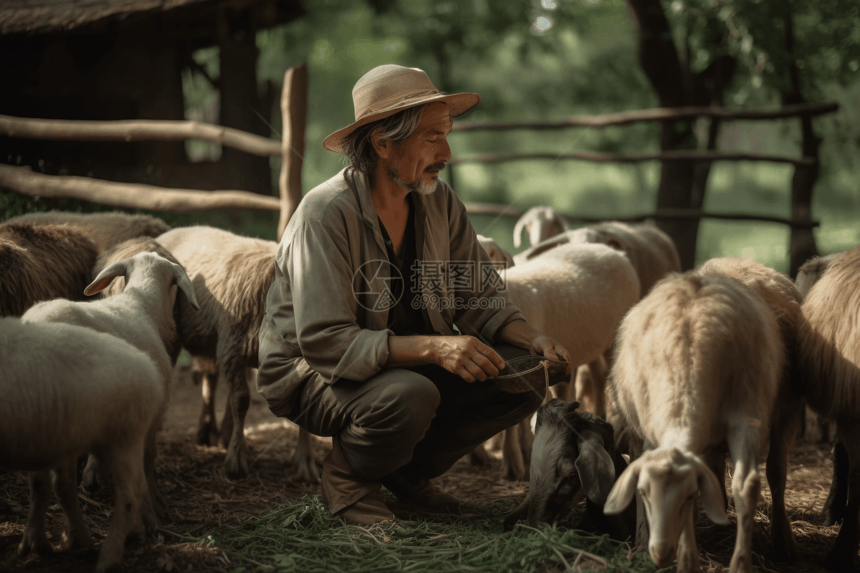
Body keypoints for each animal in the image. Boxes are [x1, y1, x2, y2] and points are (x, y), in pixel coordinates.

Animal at [0, 318, 161, 572]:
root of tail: (148, 366)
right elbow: (43, 487)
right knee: (59, 486)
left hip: (124, 437)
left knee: (130, 495)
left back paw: (107, 557)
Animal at [22, 250, 201, 524]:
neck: (142, 303)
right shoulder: (153, 409)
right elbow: (147, 459)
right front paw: (155, 507)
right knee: (61, 483)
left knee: (41, 482)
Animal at [600, 260, 804, 572]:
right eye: (645, 494)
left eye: (686, 499)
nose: (661, 553)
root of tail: (732, 261)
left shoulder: (745, 417)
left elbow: (747, 483)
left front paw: (733, 562)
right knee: (723, 466)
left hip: (788, 410)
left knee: (777, 471)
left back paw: (783, 540)